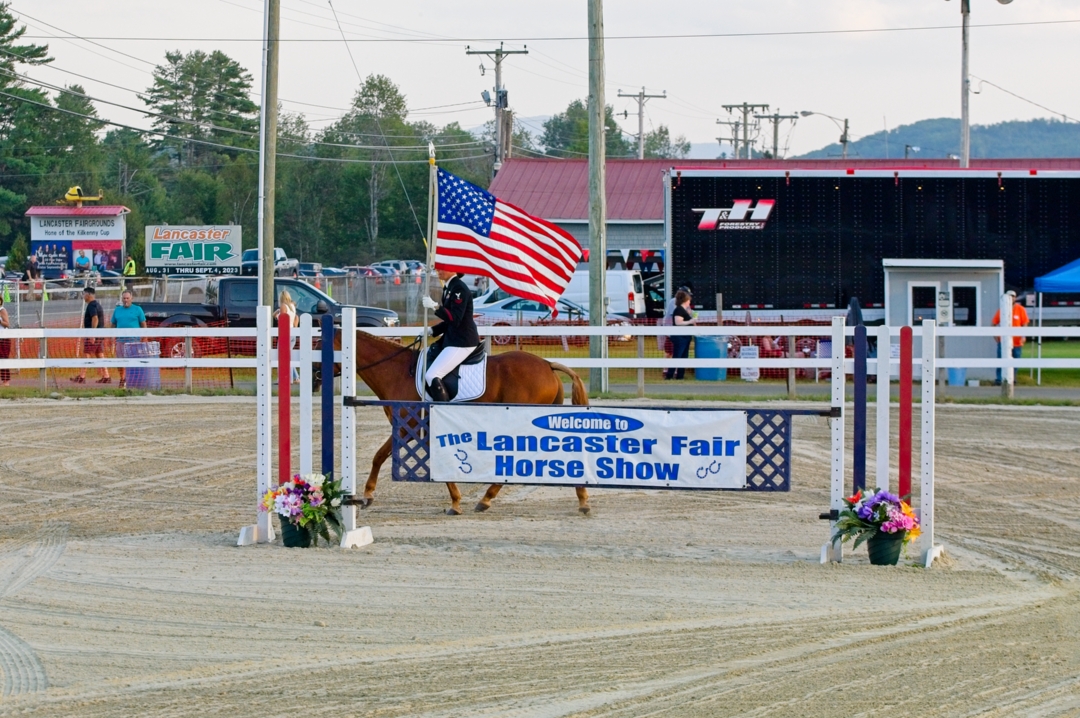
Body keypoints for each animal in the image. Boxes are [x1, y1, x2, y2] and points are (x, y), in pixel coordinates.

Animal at [341, 328, 591, 518]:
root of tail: (548, 364)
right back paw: (581, 500)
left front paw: (368, 495)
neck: (398, 372)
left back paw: (487, 499)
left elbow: (379, 456)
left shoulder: (407, 427)